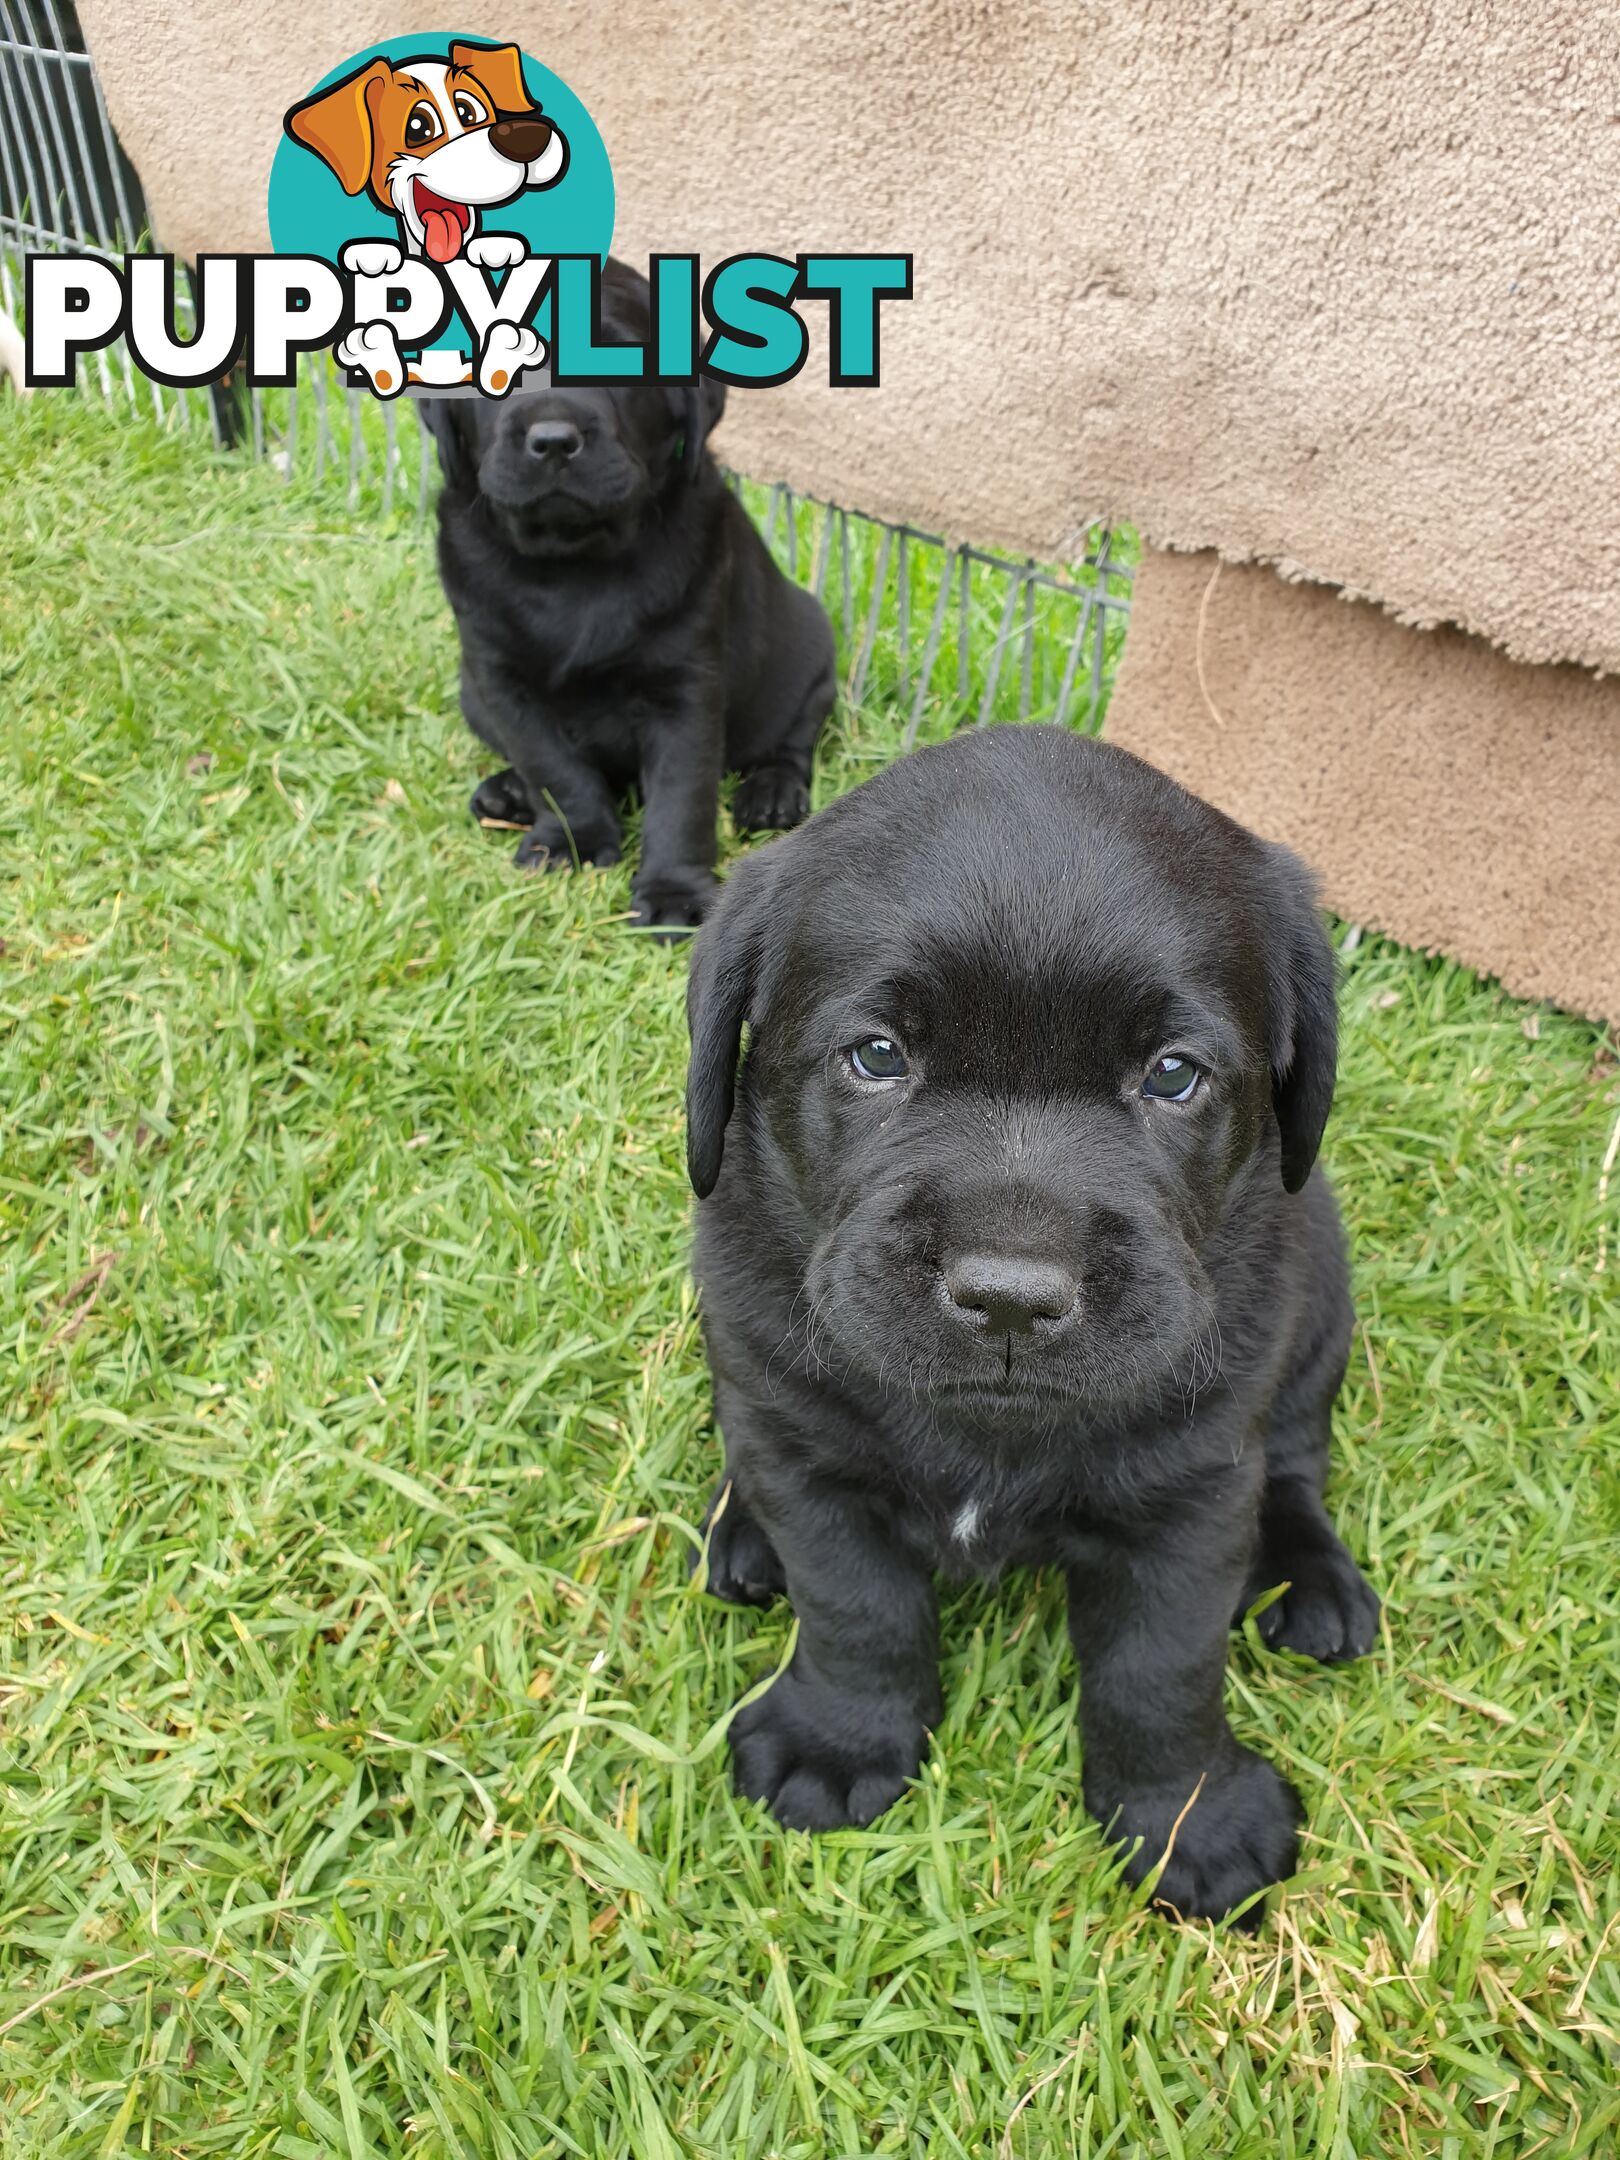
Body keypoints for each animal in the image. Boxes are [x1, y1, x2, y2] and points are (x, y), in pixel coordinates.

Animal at [419, 257, 838, 933]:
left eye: (618, 357)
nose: (553, 439)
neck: (575, 564)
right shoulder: (501, 681)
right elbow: (556, 772)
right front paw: (571, 844)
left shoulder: (685, 685)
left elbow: (681, 797)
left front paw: (673, 895)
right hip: (470, 695)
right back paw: (506, 792)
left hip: (808, 653)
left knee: (790, 742)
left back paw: (772, 797)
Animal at [686, 725, 1382, 1926]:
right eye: (877, 1055)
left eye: (1173, 1074)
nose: (1012, 1294)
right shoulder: (802, 1450)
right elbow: (854, 1608)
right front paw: (839, 1740)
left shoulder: (1194, 1490)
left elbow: (1163, 1665)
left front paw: (1189, 1819)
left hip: (1316, 1296)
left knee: (1296, 1457)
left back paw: (1312, 1578)